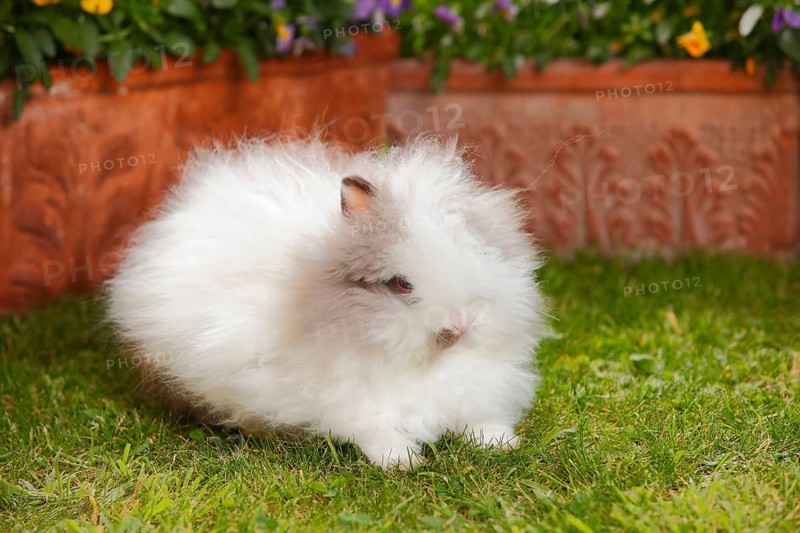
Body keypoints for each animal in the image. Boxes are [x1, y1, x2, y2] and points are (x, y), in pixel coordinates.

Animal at [106, 135, 547, 469]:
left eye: (484, 255)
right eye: (403, 284)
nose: (462, 325)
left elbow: (480, 416)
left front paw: (500, 442)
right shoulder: (351, 402)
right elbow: (375, 427)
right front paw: (401, 460)